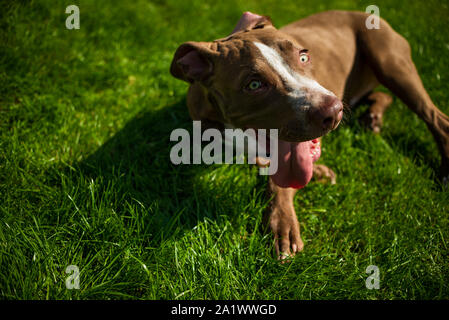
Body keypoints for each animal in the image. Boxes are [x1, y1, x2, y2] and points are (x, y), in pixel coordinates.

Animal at [170, 10, 448, 260]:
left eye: (303, 57)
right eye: (254, 85)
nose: (333, 111)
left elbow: (281, 180)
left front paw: (283, 221)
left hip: (391, 63)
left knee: (437, 119)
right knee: (382, 95)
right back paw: (373, 116)